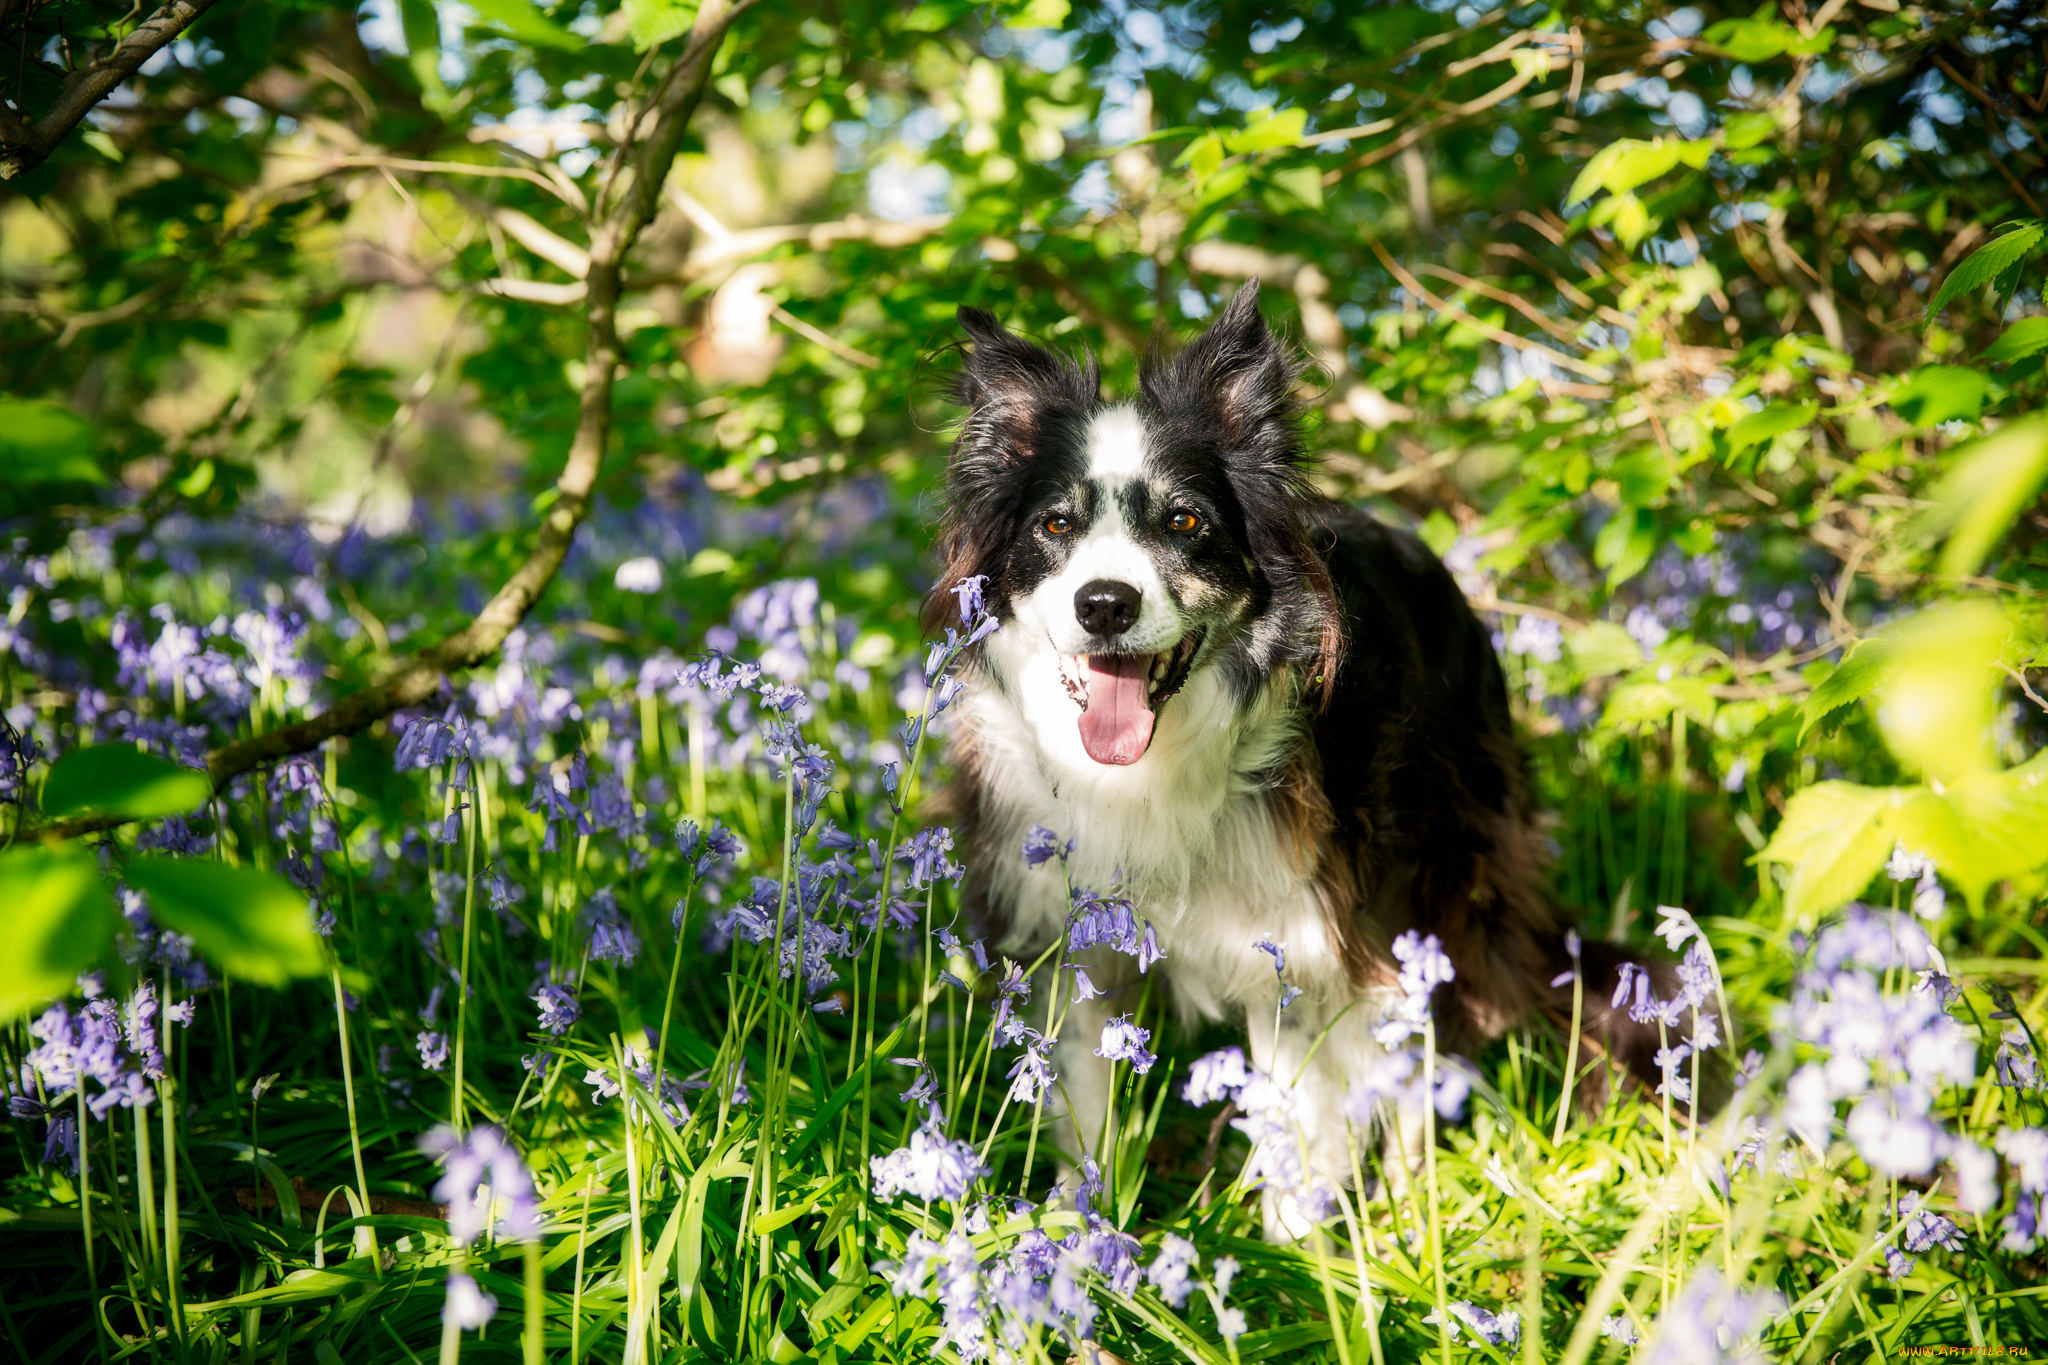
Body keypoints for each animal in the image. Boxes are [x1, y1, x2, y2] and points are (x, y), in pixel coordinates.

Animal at [929, 282, 1662, 1244]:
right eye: (1056, 523)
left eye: (1185, 522)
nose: (1105, 605)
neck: (1148, 769)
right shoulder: (1063, 931)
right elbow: (1087, 1103)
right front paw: (1076, 1231)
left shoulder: (1295, 943)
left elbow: (1296, 1111)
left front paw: (1297, 1255)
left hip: (1435, 869)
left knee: (1422, 1030)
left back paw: (1410, 1210)